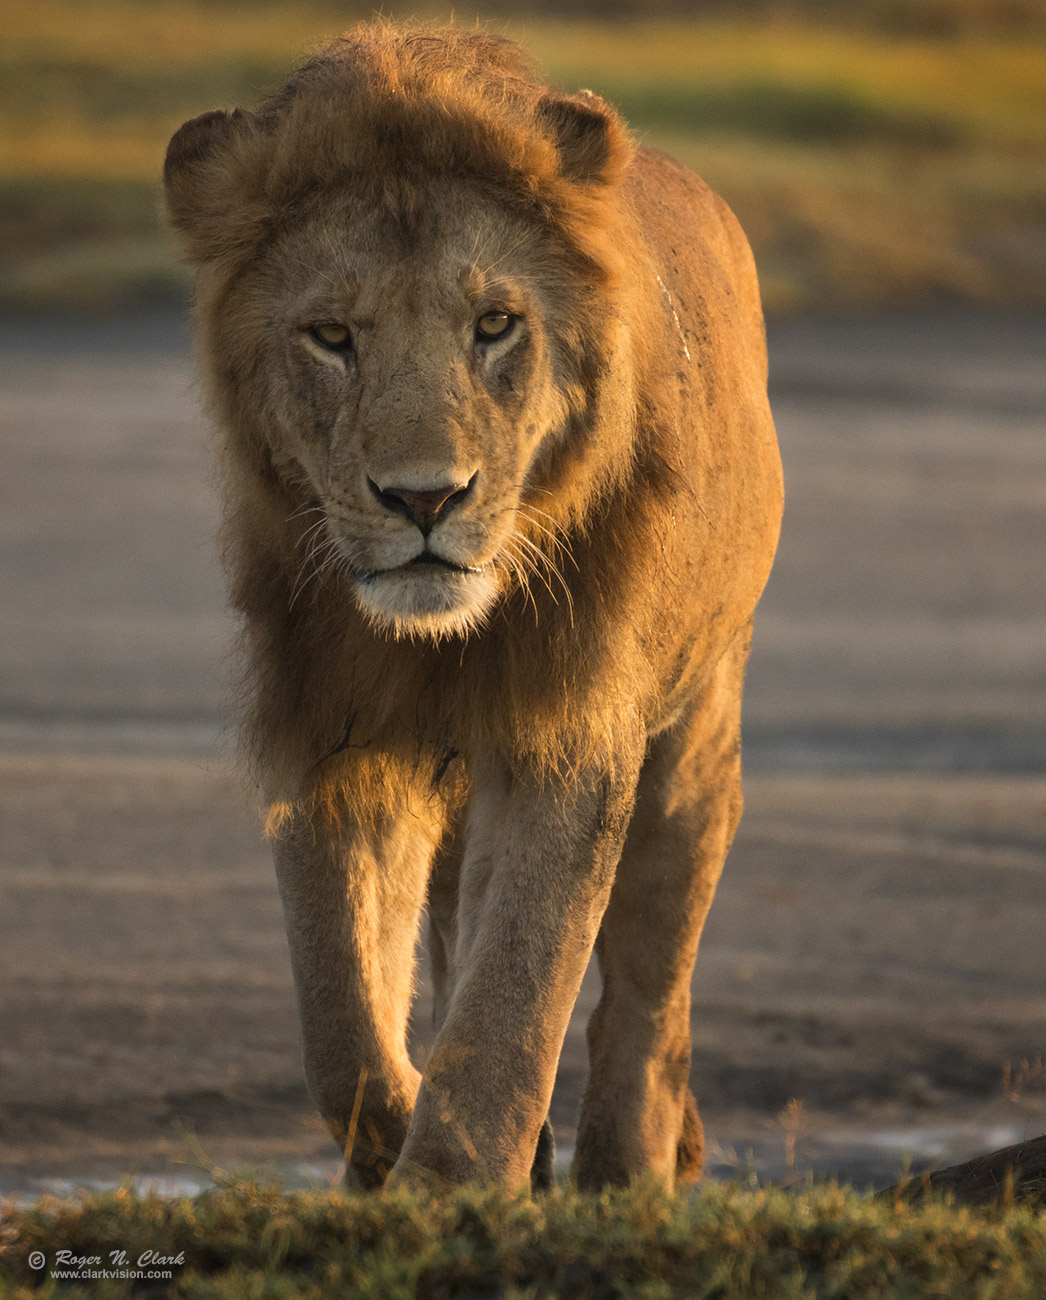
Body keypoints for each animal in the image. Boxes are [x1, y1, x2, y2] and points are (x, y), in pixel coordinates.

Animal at [163, 22, 784, 1196]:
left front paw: (452, 1188)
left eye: (494, 324)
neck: (435, 642)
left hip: (695, 735)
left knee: (648, 985)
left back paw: (630, 1165)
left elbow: (519, 986)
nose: (424, 499)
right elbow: (341, 1016)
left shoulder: (566, 725)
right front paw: (399, 1147)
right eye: (331, 336)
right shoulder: (331, 726)